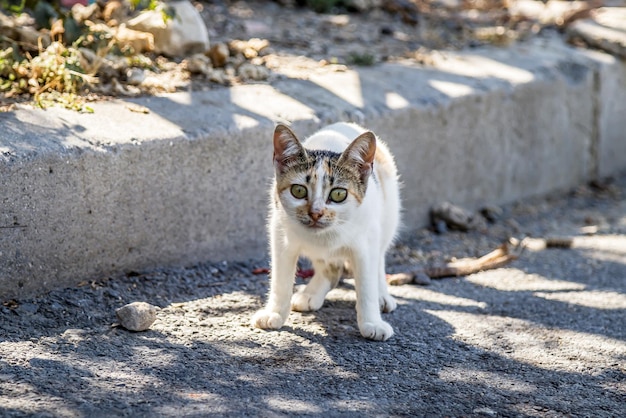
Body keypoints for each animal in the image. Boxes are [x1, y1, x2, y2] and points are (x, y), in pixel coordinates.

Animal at [250, 122, 400, 342]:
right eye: (298, 191)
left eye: (338, 194)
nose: (316, 213)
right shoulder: (280, 233)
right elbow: (280, 279)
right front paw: (275, 313)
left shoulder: (366, 242)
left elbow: (367, 283)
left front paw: (372, 323)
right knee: (330, 267)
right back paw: (310, 294)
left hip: (388, 216)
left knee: (379, 256)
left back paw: (382, 295)